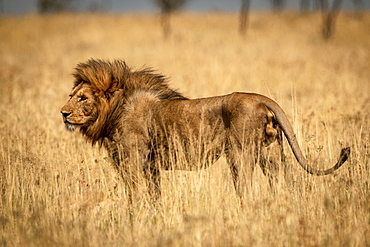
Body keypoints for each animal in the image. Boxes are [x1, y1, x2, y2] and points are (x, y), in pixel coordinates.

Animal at [60, 58, 350, 204]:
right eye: (71, 96)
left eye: (83, 98)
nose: (63, 113)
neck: (114, 110)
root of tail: (262, 99)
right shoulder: (151, 166)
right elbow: (155, 195)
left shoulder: (132, 160)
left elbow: (134, 195)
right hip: (271, 154)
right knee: (283, 183)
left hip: (240, 155)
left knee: (246, 189)